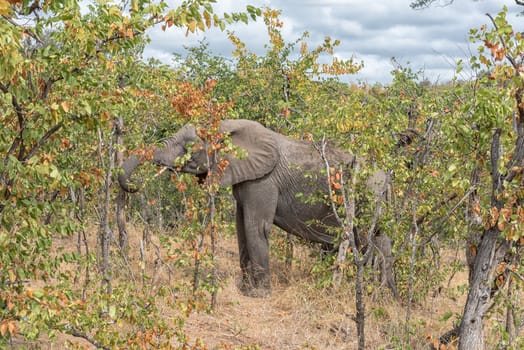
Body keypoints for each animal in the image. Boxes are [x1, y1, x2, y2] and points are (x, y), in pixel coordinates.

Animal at [118, 119, 396, 296]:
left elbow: (255, 227)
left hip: (368, 197)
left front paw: (258, 295)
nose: (134, 184)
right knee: (383, 243)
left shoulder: (264, 180)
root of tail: (387, 177)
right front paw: (245, 289)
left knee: (370, 242)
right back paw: (386, 297)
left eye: (187, 147)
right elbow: (242, 228)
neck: (227, 127)